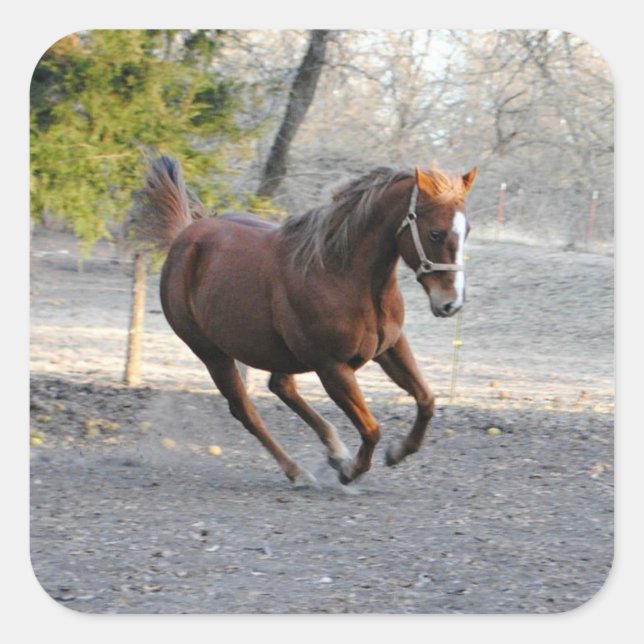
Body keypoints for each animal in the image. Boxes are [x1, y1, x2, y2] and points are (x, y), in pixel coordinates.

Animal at [133, 157, 477, 485]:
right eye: (435, 233)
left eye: (467, 231)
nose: (451, 304)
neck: (341, 273)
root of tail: (183, 237)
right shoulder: (332, 368)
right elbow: (371, 428)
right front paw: (350, 472)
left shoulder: (389, 347)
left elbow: (426, 401)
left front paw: (396, 452)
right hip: (213, 354)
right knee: (246, 410)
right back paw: (299, 472)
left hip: (276, 351)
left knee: (280, 386)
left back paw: (334, 452)